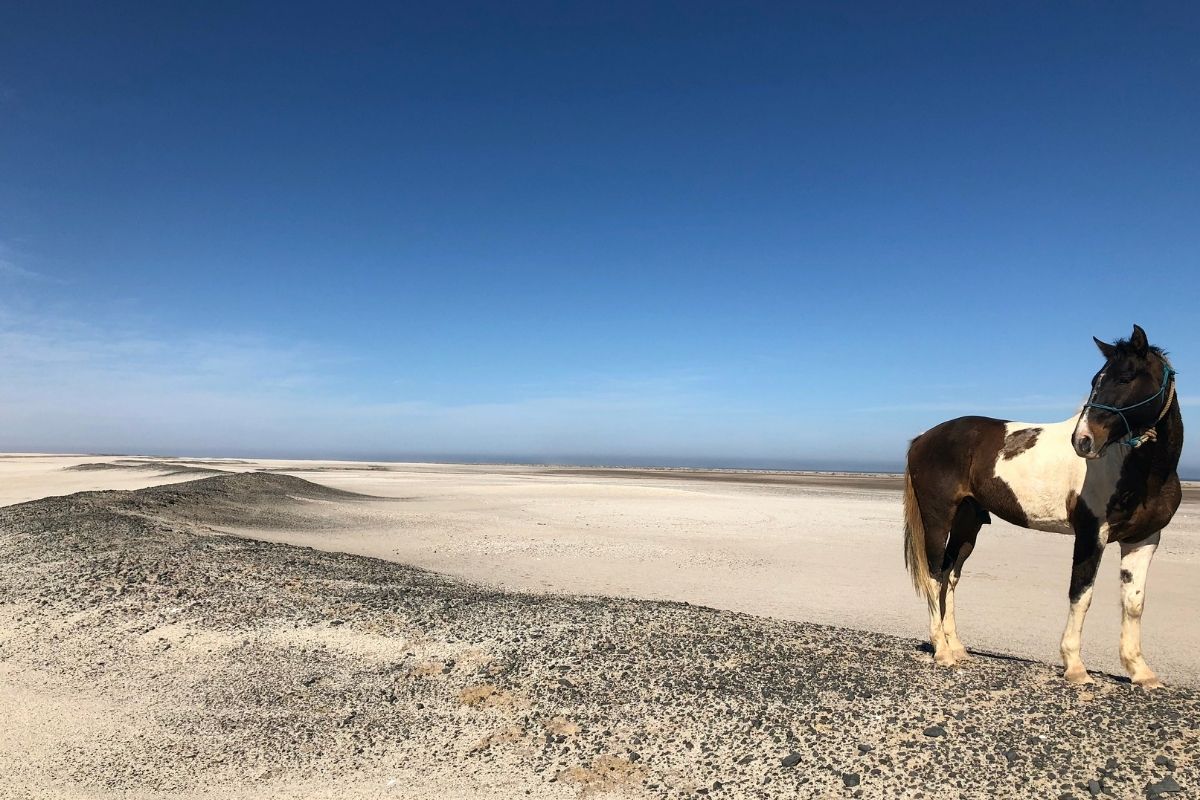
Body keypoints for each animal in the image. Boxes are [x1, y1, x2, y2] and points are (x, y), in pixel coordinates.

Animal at [902, 324, 1182, 687]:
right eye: (1095, 380)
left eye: (1126, 378)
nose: (1082, 440)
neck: (1139, 469)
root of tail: (922, 438)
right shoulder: (1091, 535)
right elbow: (1081, 595)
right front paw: (1076, 667)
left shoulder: (1144, 539)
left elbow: (1134, 602)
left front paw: (1141, 672)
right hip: (939, 519)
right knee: (935, 574)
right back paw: (942, 651)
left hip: (968, 523)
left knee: (950, 575)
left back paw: (957, 647)